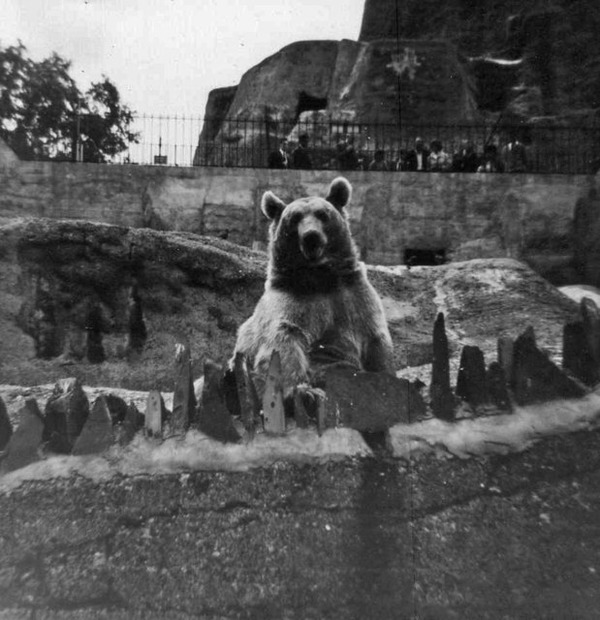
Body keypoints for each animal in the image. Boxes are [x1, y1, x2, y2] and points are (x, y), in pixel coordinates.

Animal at [231, 177, 394, 400]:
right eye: (295, 218)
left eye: (322, 214)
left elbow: (376, 342)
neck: (320, 277)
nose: (311, 236)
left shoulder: (354, 297)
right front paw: (303, 391)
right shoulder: (291, 302)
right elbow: (283, 341)